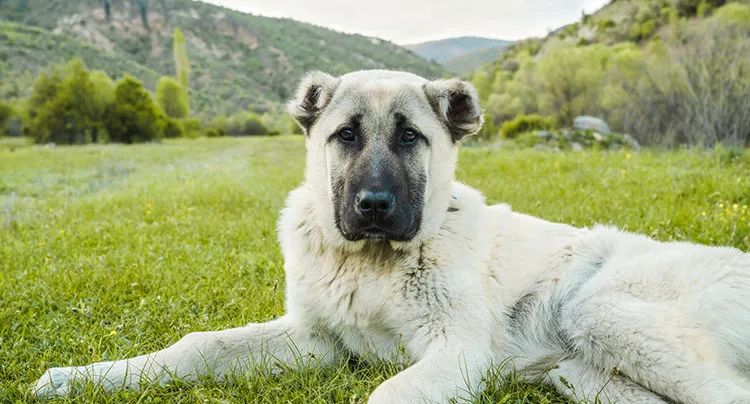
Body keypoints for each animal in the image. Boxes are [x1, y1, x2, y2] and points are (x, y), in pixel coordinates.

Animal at [33, 71, 750, 402]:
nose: (374, 205)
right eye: (346, 135)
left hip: (599, 309)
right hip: (584, 374)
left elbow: (387, 391)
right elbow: (195, 346)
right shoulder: (314, 339)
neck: (371, 264)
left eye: (410, 137)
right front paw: (84, 378)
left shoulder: (457, 352)